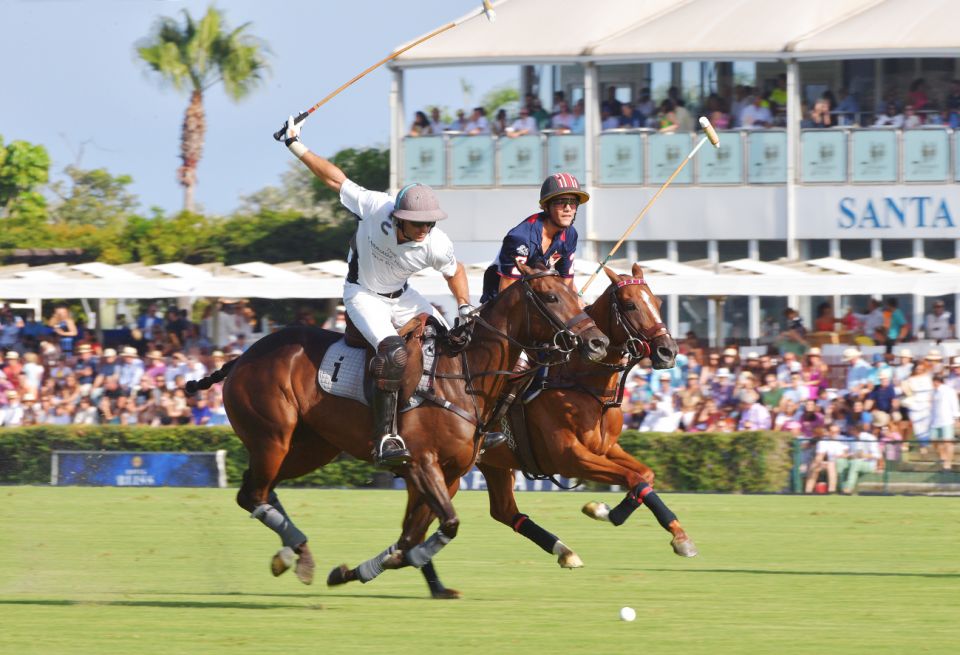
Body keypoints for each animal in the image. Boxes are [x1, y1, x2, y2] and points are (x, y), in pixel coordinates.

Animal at [197, 264, 608, 592]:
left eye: (576, 294)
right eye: (552, 296)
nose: (598, 341)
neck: (465, 376)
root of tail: (240, 358)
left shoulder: (450, 472)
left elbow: (411, 535)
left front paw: (357, 571)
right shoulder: (422, 463)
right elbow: (444, 526)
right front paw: (411, 563)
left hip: (312, 448)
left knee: (258, 489)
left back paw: (296, 555)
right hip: (273, 438)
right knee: (253, 493)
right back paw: (296, 552)